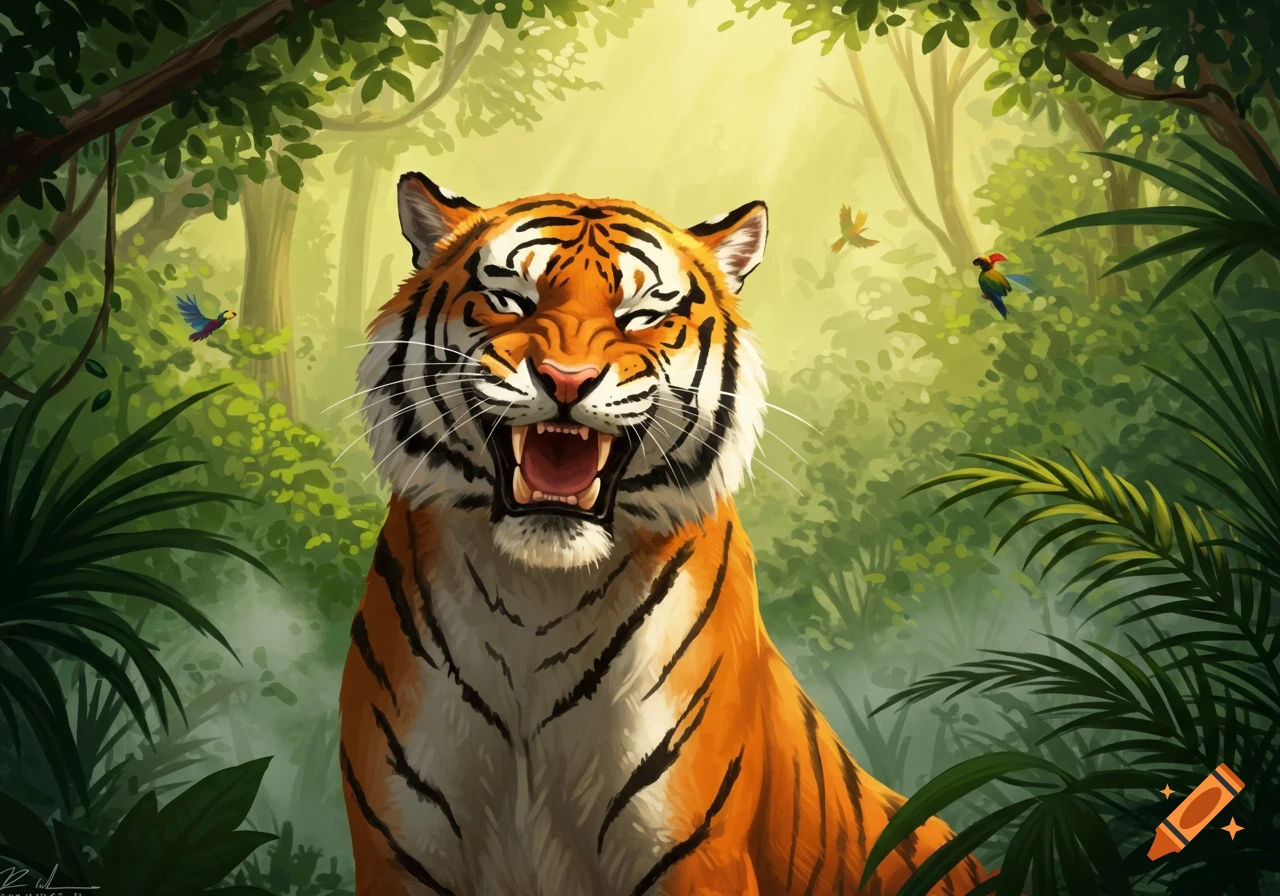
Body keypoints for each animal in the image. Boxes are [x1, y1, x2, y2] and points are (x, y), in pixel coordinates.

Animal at [338, 172, 990, 896]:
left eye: (642, 315)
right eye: (511, 300)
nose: (566, 380)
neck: (535, 599)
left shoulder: (694, 855)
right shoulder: (399, 855)